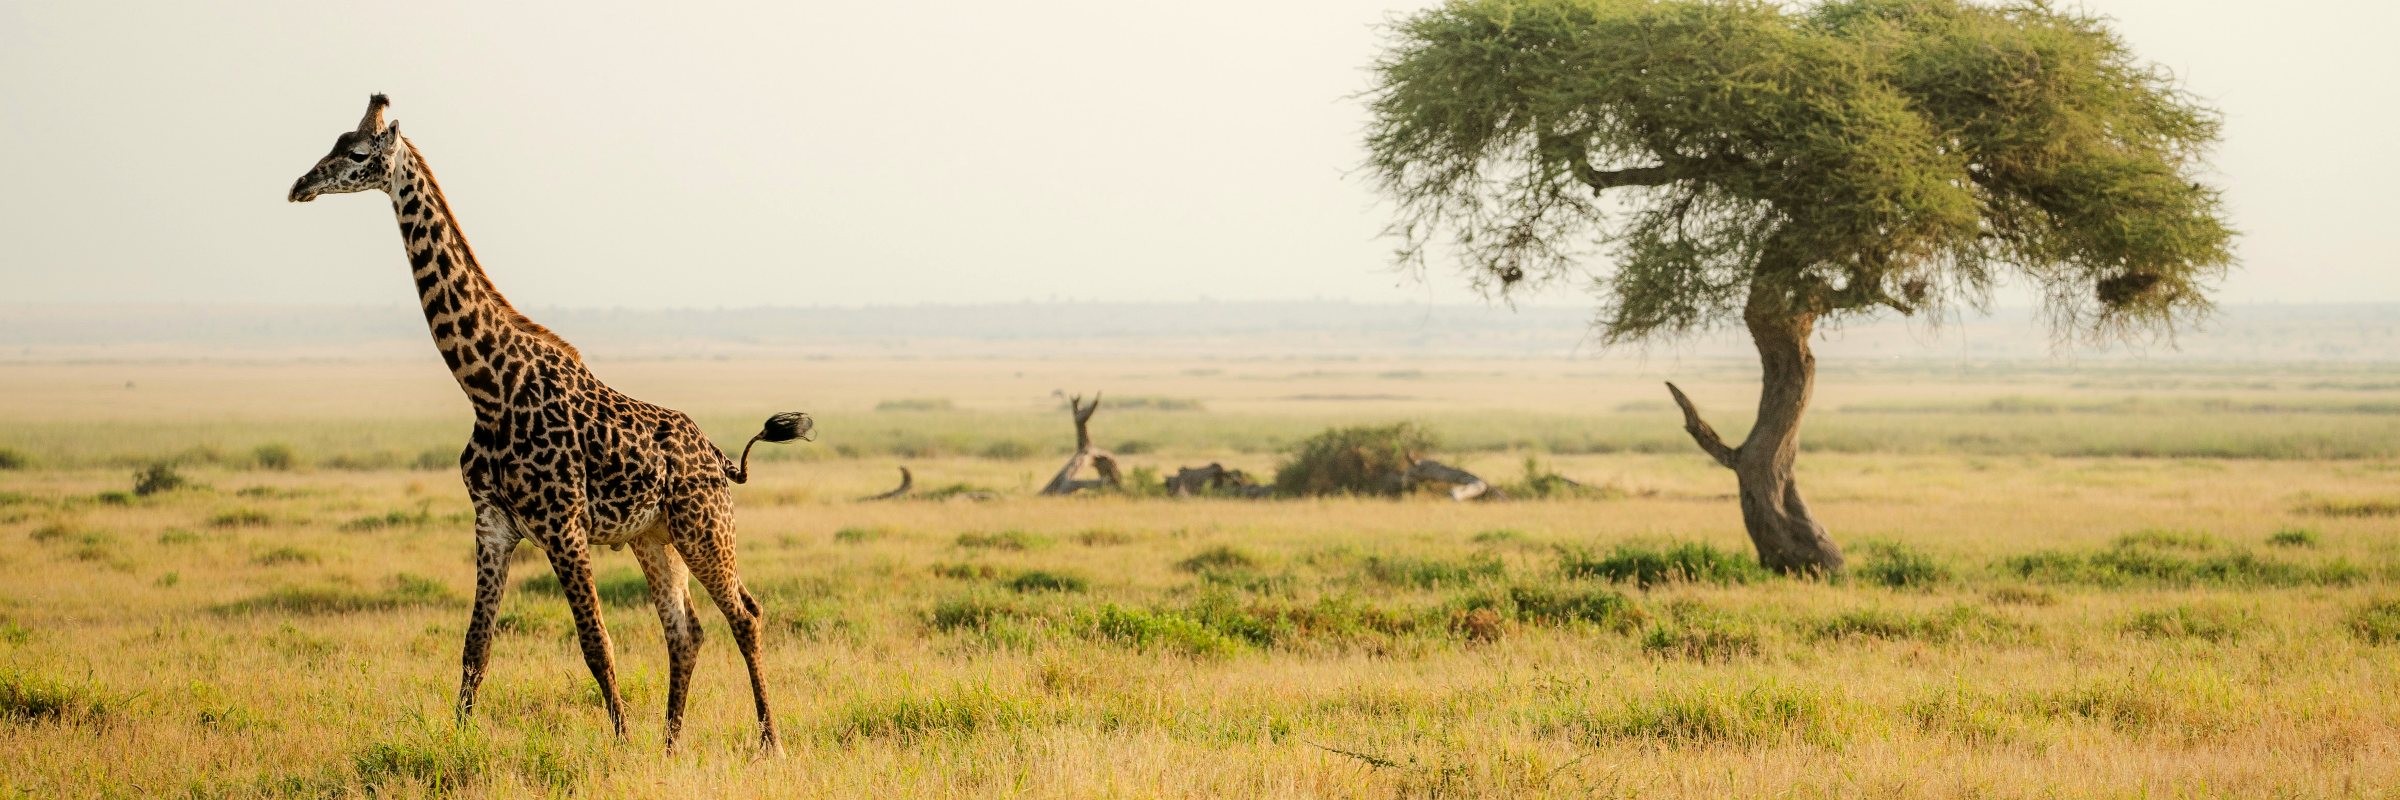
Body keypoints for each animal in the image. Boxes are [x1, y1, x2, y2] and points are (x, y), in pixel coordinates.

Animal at [288, 94, 810, 753]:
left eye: (357, 153)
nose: (299, 186)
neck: (487, 387)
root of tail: (718, 457)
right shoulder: (492, 524)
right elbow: (475, 647)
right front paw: (457, 740)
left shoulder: (563, 526)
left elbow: (597, 645)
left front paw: (621, 745)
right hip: (653, 536)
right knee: (686, 630)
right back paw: (671, 745)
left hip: (704, 526)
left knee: (745, 614)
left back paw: (770, 742)